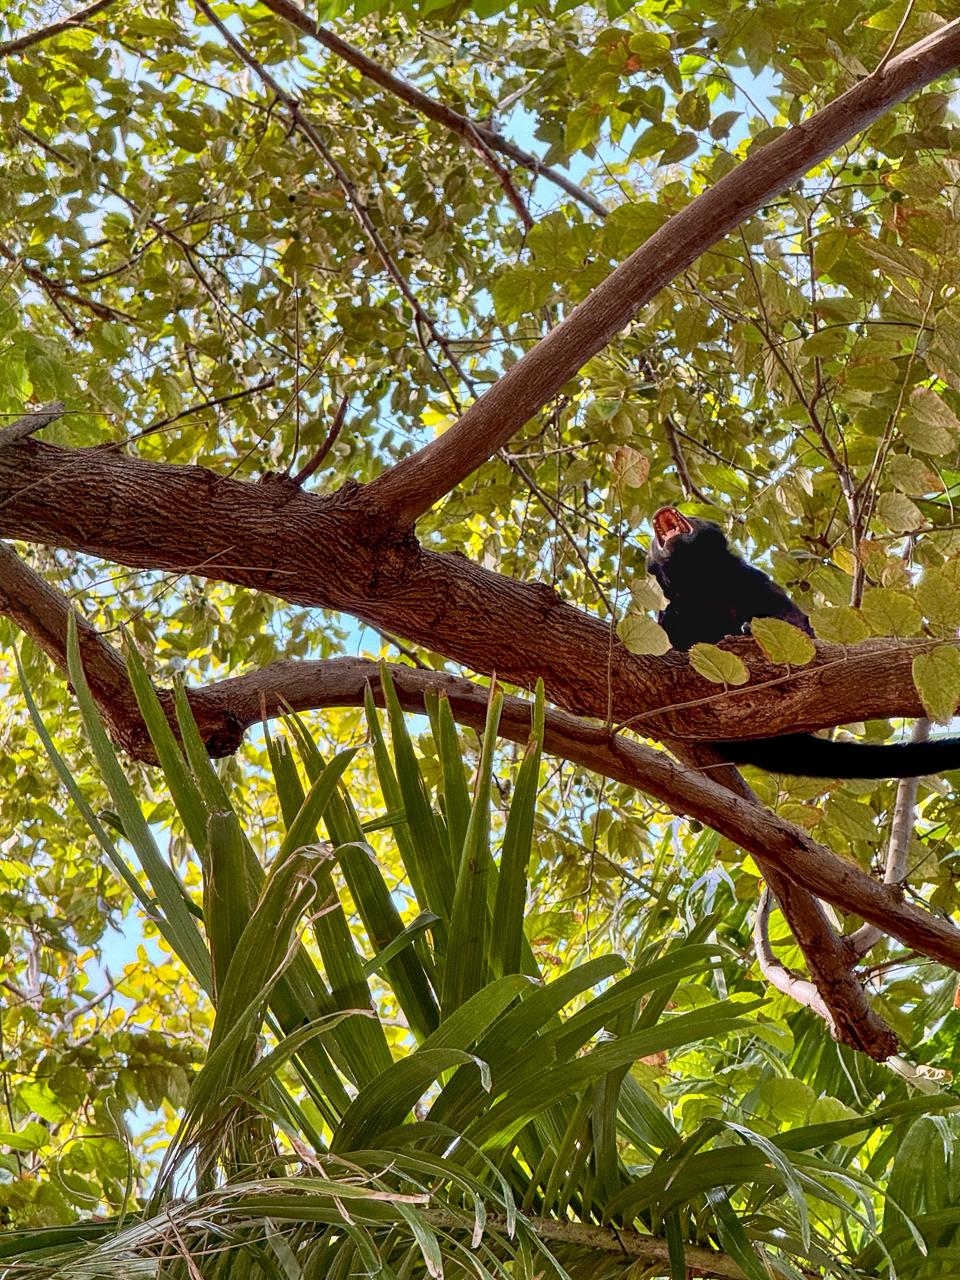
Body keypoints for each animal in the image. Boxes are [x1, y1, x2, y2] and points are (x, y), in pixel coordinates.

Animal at [646, 506, 960, 778]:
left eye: (695, 517)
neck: (702, 579)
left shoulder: (749, 578)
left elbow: (791, 618)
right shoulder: (676, 601)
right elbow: (670, 622)